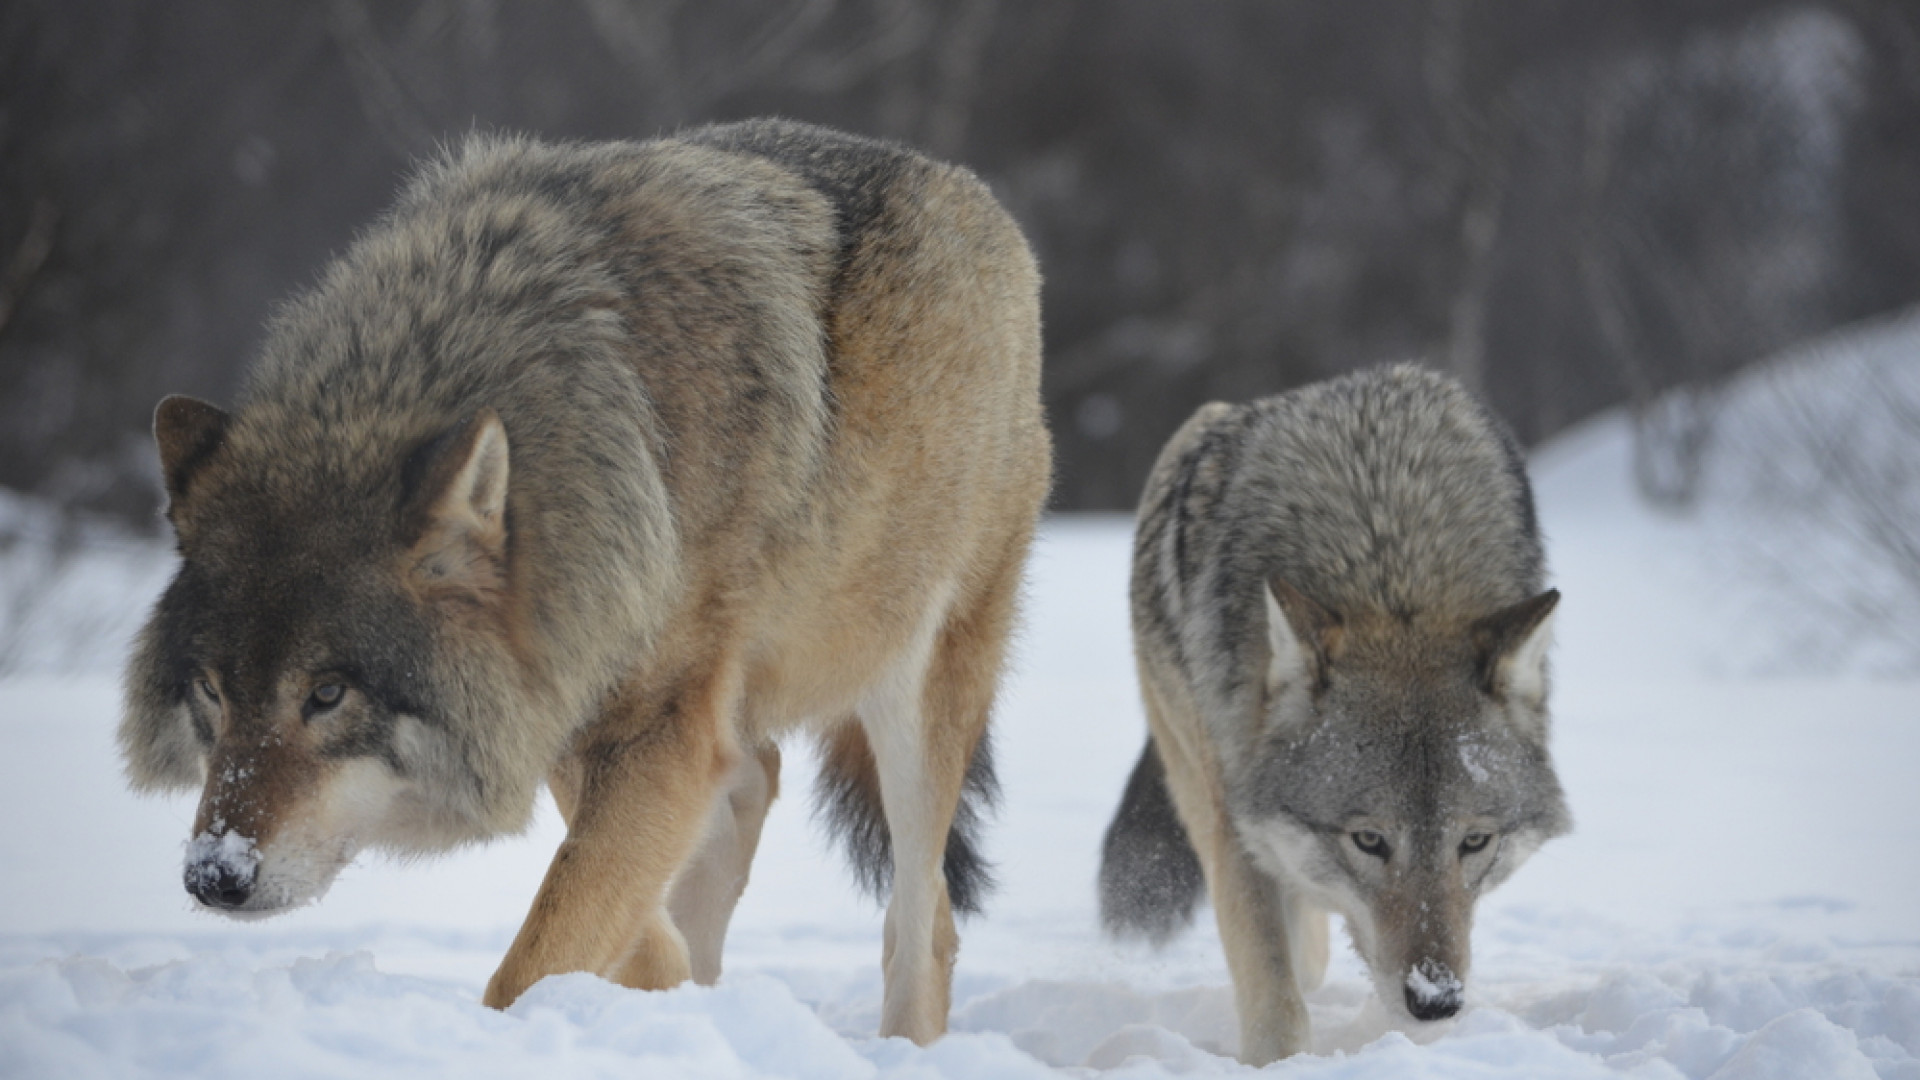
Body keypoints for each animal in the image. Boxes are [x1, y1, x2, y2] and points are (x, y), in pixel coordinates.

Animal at [116, 119, 1052, 1045]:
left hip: (914, 686)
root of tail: (976, 197)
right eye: (210, 692)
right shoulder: (573, 695)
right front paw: (663, 992)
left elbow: (535, 958)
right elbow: (623, 915)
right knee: (755, 784)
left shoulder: (652, 730)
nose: (215, 876)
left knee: (923, 923)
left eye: (327, 695)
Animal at [1105, 361, 1566, 1060]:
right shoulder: (1236, 824)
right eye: (1370, 840)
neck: (1389, 561)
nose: (1436, 1001)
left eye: (1475, 841)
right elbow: (1276, 997)